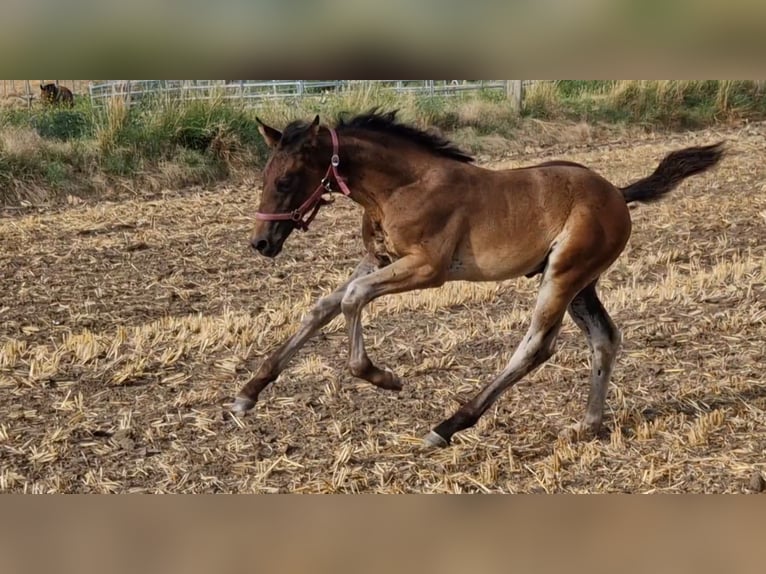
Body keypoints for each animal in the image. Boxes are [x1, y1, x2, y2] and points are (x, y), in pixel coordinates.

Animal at [234, 110, 728, 448]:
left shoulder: (427, 268)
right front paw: (248, 393)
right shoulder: (377, 258)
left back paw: (448, 426)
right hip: (581, 283)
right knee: (604, 338)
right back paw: (588, 425)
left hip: (563, 274)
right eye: (264, 178)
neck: (400, 187)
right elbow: (322, 307)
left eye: (287, 179)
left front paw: (381, 376)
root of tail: (618, 195)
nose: (261, 242)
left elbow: (352, 299)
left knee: (536, 346)